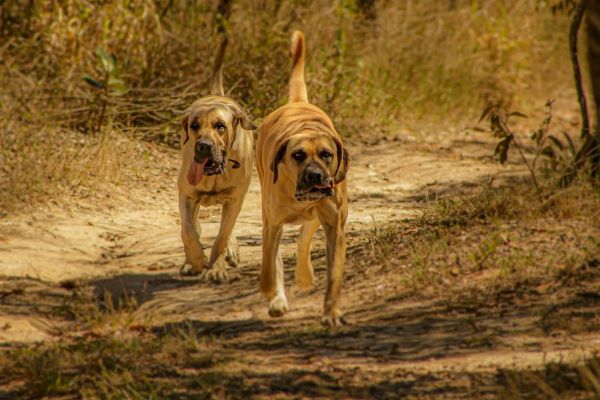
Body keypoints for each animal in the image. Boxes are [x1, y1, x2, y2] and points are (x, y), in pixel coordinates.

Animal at [177, 36, 254, 282]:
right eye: (194, 125)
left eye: (220, 126)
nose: (203, 146)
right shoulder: (187, 195)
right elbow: (188, 231)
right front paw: (197, 260)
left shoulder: (236, 198)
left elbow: (222, 235)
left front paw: (216, 268)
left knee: (227, 228)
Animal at [255, 30, 350, 324]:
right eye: (297, 155)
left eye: (327, 154)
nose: (316, 175)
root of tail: (297, 102)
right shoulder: (272, 224)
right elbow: (268, 266)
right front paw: (271, 292)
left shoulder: (335, 227)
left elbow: (334, 275)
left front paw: (331, 311)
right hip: (269, 216)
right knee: (274, 256)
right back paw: (277, 296)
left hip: (319, 214)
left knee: (304, 238)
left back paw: (304, 275)